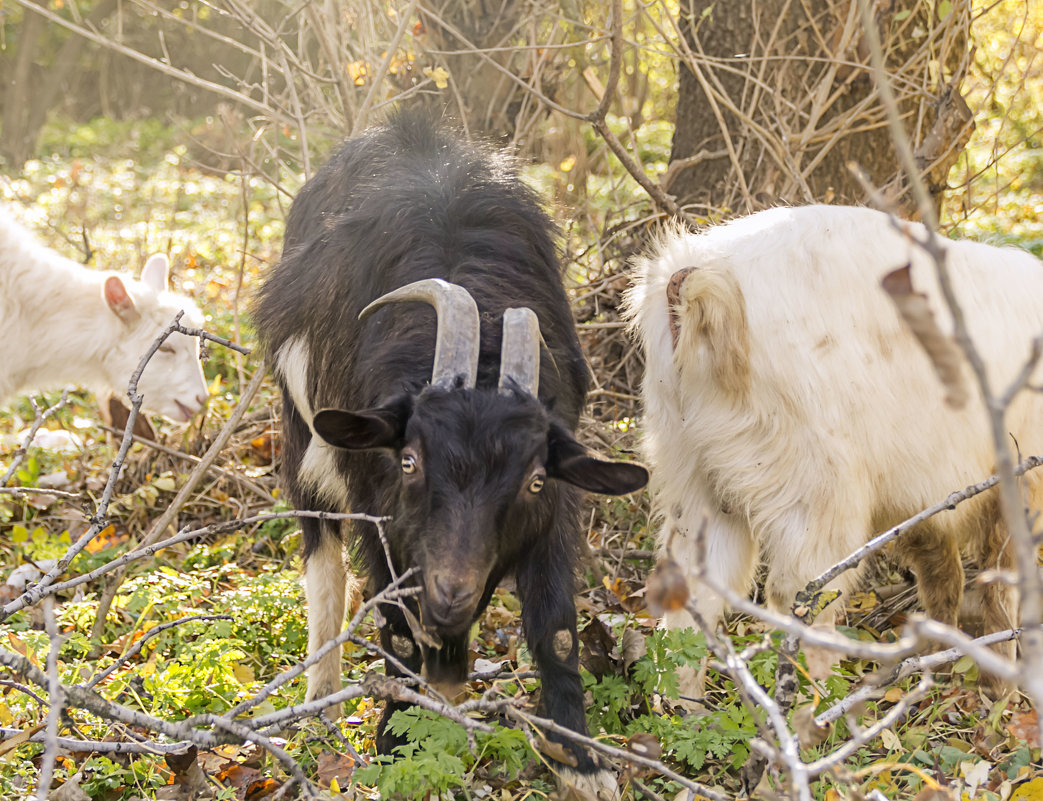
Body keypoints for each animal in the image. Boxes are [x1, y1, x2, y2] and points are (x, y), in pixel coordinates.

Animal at [250, 114, 642, 792]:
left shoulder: (551, 507)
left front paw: (581, 760)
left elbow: (556, 627)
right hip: (302, 441)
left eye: (533, 480)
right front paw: (394, 741)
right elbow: (394, 619)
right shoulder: (379, 504)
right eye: (410, 461)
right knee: (322, 558)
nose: (453, 589)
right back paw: (320, 699)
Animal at [621, 203, 1038, 684]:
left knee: (692, 595)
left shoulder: (923, 493)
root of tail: (701, 278)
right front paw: (999, 682)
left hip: (693, 474)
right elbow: (1003, 581)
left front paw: (940, 656)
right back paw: (824, 689)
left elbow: (943, 571)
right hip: (817, 487)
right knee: (800, 595)